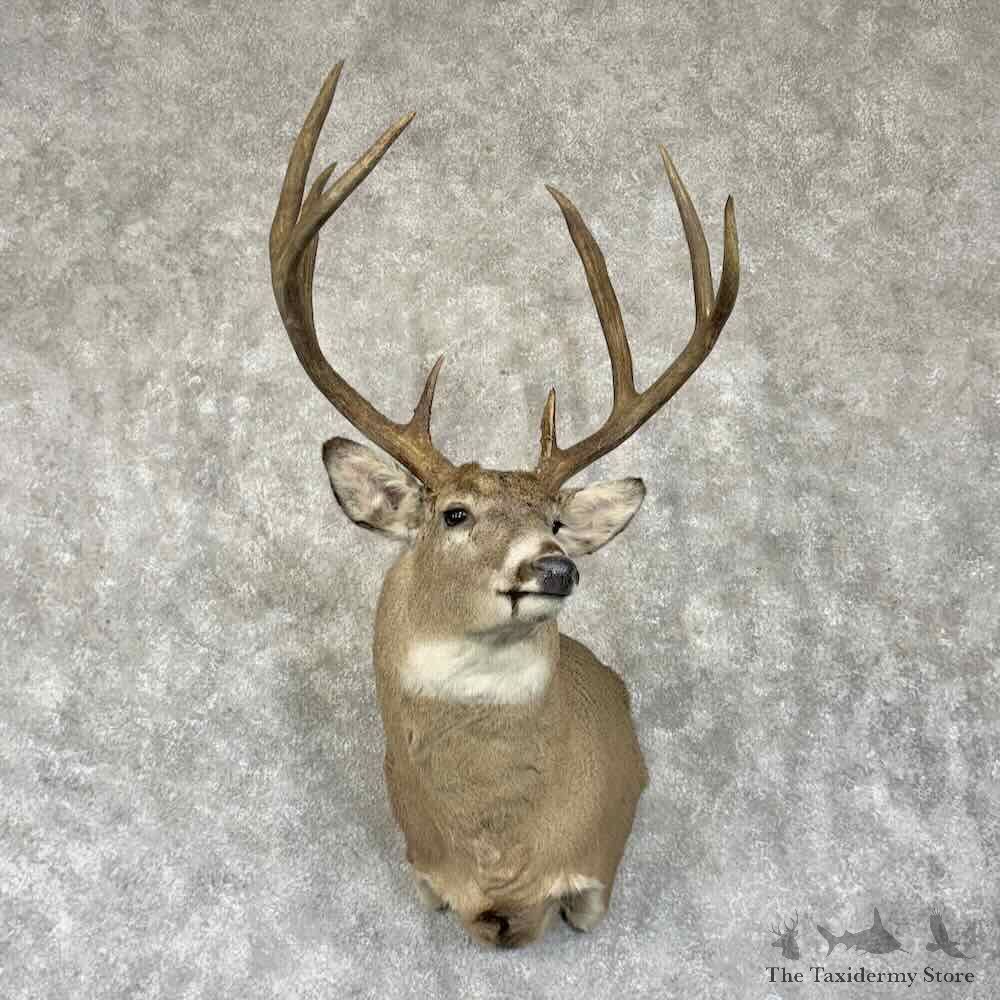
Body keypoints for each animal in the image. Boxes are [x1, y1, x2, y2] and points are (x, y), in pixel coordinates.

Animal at [269, 62, 739, 949]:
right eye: (454, 514)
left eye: (556, 521)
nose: (554, 569)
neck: (498, 858)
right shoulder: (425, 869)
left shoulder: (593, 873)